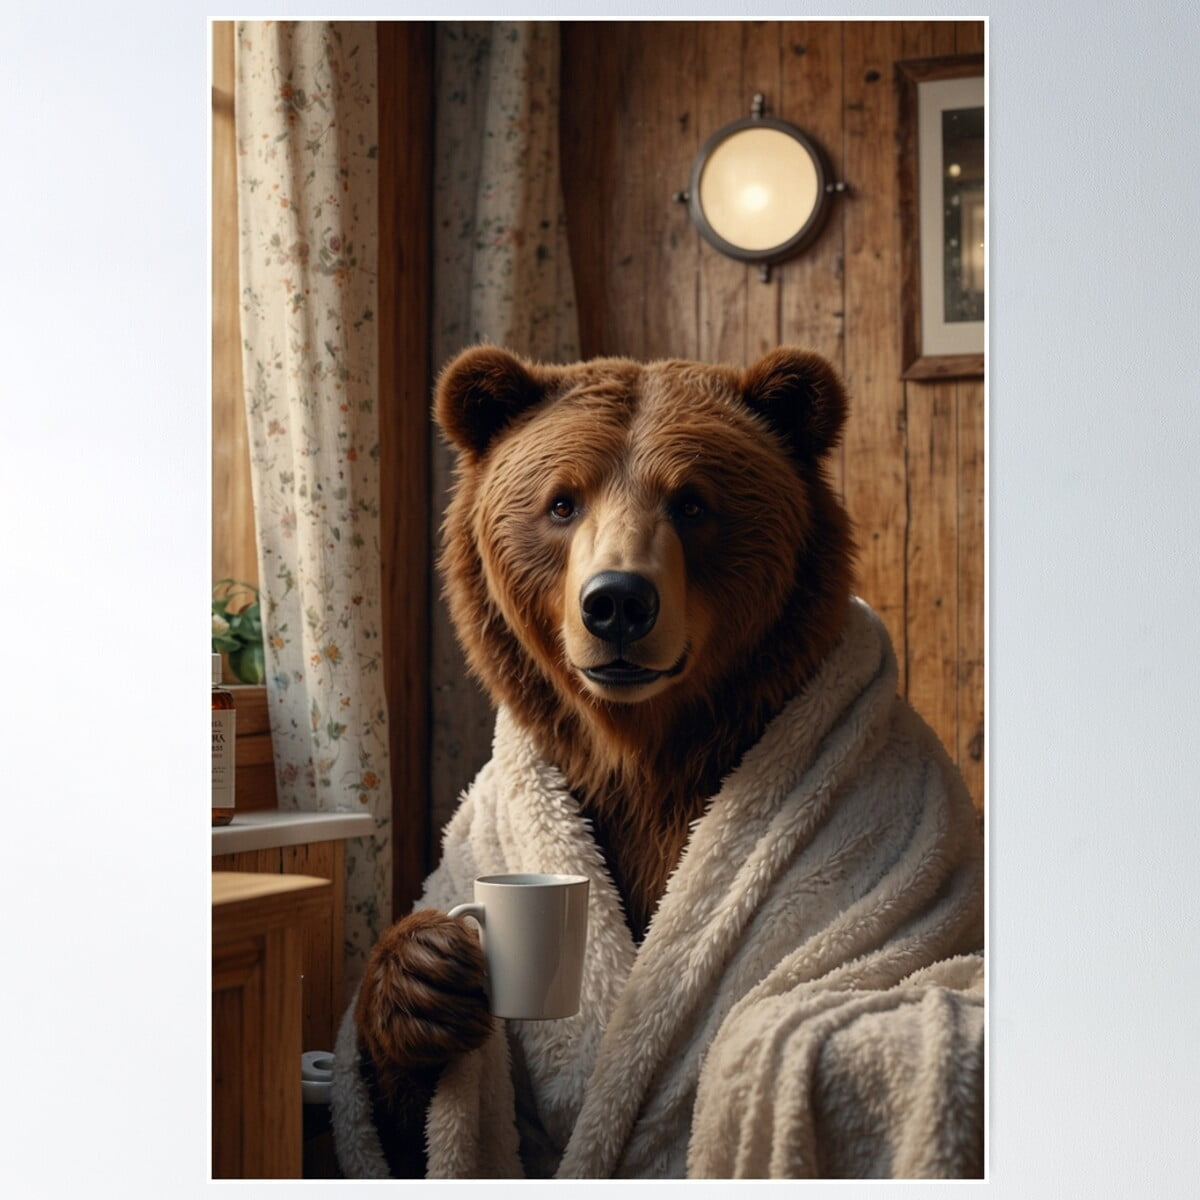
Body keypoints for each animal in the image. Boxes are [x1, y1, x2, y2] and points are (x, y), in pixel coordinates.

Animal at [335, 345, 985, 1180]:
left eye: (693, 503)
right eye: (561, 502)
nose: (617, 601)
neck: (649, 748)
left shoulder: (896, 841)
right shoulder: (486, 832)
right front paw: (424, 976)